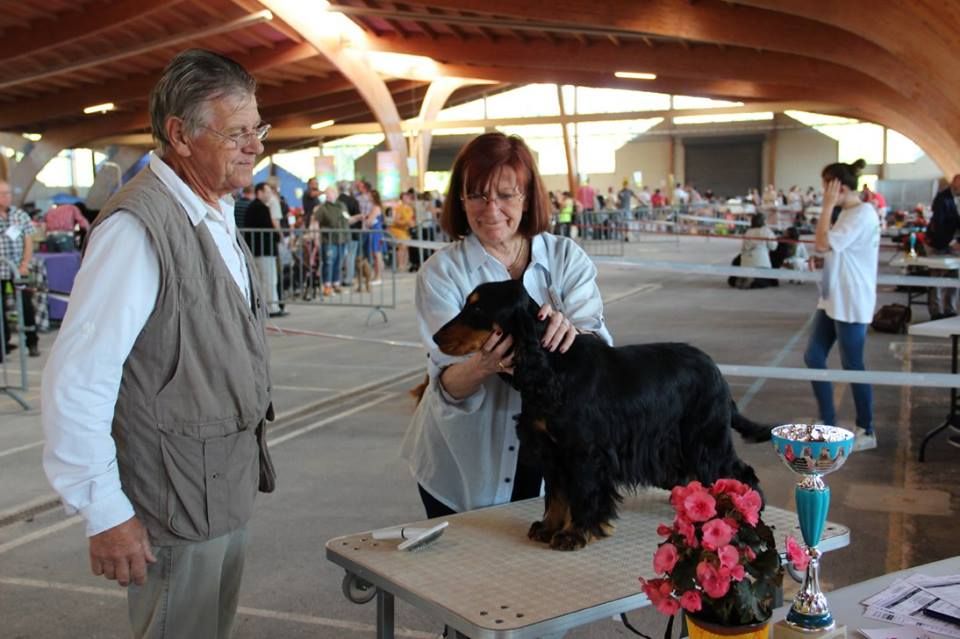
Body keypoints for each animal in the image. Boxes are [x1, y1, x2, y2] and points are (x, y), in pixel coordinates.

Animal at [436, 282, 772, 556]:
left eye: (477, 308)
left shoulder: (584, 451)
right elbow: (557, 495)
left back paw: (747, 509)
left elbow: (583, 493)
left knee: (738, 471)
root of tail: (717, 372)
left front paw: (574, 534)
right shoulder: (552, 451)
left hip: (705, 437)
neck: (553, 368)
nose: (436, 337)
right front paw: (548, 528)